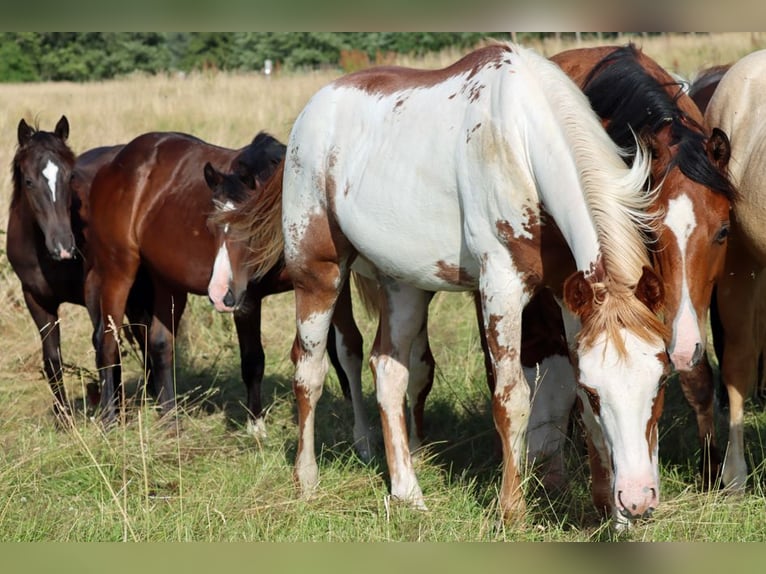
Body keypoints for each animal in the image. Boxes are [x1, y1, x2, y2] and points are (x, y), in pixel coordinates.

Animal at [6, 115, 151, 418]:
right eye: (28, 181)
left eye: (70, 177)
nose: (63, 246)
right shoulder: (36, 299)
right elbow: (52, 358)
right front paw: (63, 418)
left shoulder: (95, 288)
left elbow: (103, 344)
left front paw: (112, 411)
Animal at [85, 131, 371, 458]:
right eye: (211, 225)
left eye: (251, 222)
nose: (219, 292)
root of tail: (115, 164)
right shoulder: (247, 300)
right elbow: (253, 360)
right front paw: (256, 427)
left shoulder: (332, 283)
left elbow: (342, 347)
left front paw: (354, 421)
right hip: (117, 271)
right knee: (107, 341)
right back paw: (110, 419)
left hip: (167, 283)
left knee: (159, 344)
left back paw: (170, 419)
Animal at [216, 42, 670, 527]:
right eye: (599, 391)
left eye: (661, 381)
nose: (638, 498)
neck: (521, 144)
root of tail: (309, 113)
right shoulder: (501, 288)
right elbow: (512, 399)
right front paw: (512, 512)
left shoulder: (570, 296)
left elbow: (575, 404)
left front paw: (609, 511)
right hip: (319, 273)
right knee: (310, 371)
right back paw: (307, 481)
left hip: (403, 285)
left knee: (389, 371)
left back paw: (408, 492)